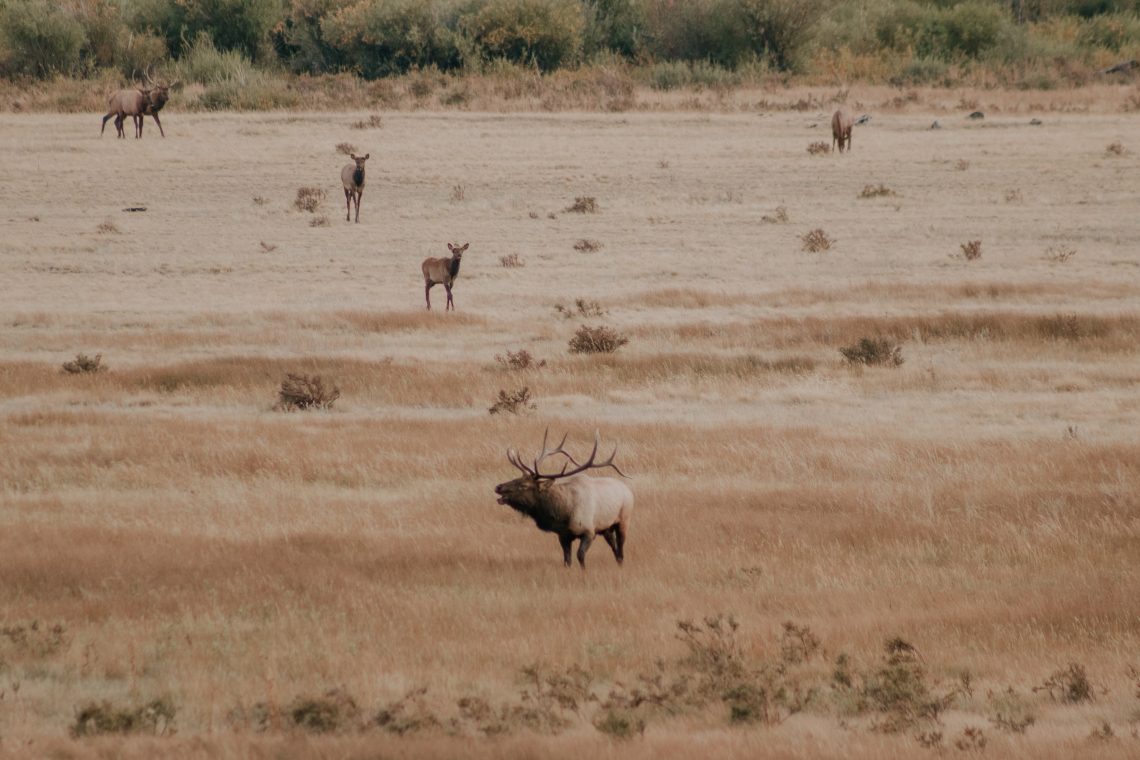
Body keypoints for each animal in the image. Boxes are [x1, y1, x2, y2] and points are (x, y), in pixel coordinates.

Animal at [492, 430, 633, 567]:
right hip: (606, 528)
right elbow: (567, 560)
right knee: (615, 548)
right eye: (517, 478)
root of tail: (628, 490)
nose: (498, 487)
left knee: (620, 550)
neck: (564, 513)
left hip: (623, 520)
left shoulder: (589, 531)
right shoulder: (563, 536)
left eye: (524, 485)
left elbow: (580, 556)